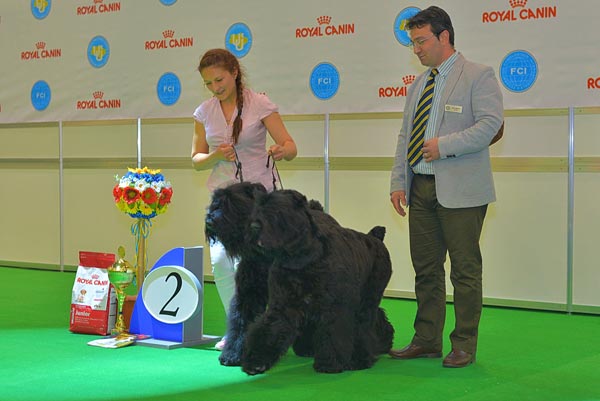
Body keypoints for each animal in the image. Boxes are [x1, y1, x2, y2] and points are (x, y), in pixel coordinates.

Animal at [240, 188, 394, 375]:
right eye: (257, 208)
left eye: (277, 210)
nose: (253, 227)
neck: (300, 258)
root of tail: (375, 239)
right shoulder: (283, 306)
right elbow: (270, 329)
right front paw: (256, 362)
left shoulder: (334, 308)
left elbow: (332, 333)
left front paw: (329, 363)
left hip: (368, 300)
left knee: (366, 325)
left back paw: (363, 357)